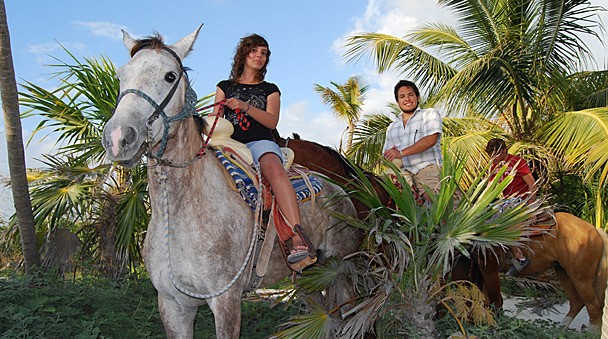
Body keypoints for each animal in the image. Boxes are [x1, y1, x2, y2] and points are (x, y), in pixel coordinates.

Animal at [100, 25, 360, 338]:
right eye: (121, 75)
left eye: (170, 76)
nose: (118, 137)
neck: (181, 214)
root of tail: (340, 191)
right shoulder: (173, 306)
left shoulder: (226, 302)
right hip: (308, 277)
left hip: (341, 269)